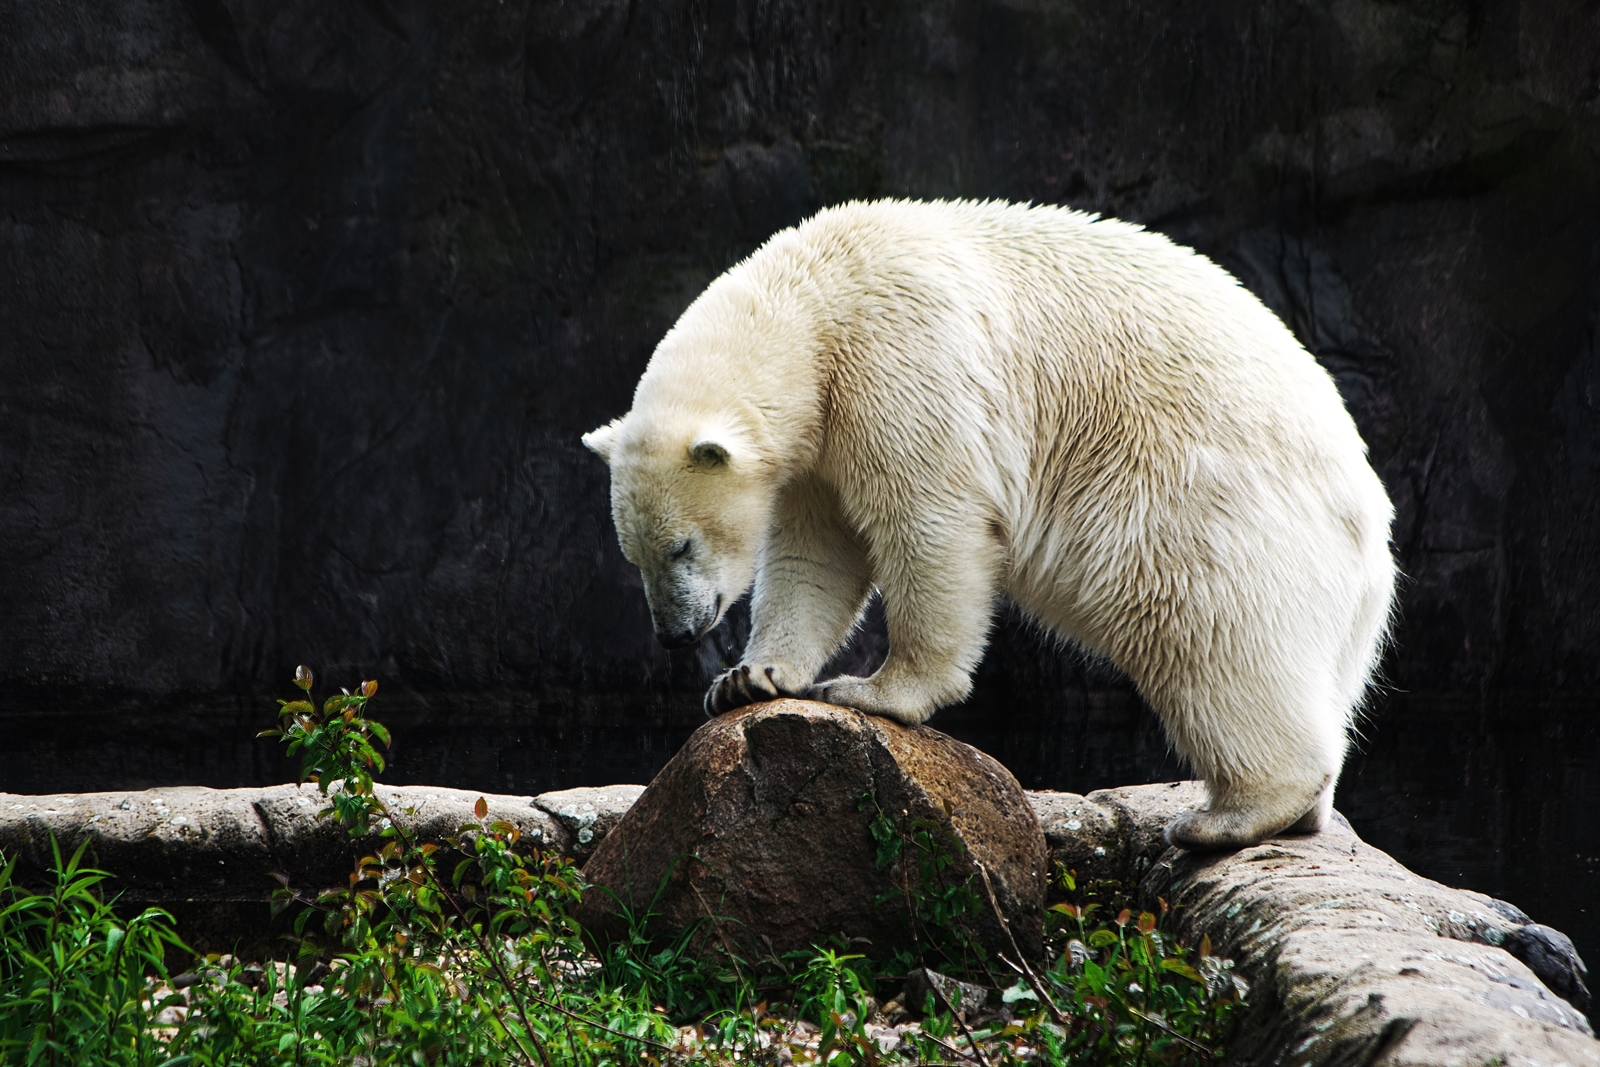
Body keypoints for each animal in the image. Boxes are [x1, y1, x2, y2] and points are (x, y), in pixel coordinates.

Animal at [582, 199, 1395, 851]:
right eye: (634, 556)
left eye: (681, 545)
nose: (676, 634)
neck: (819, 300)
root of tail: (1370, 529)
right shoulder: (822, 440)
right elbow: (816, 554)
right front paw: (750, 678)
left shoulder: (901, 363)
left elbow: (930, 521)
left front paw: (872, 690)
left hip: (1210, 508)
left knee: (1211, 635)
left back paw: (1227, 815)